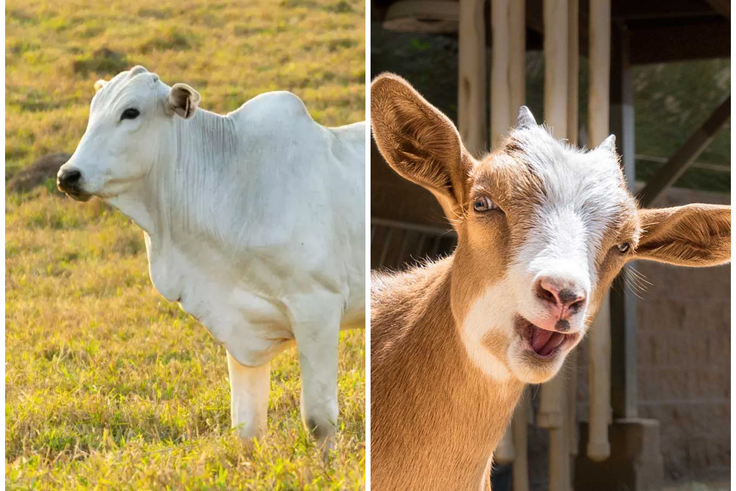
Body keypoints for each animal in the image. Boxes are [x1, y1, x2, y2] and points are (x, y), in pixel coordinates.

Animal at [57, 66, 365, 453]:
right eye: (93, 110)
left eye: (131, 112)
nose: (68, 175)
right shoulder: (239, 324)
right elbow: (246, 426)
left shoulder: (318, 308)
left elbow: (318, 420)